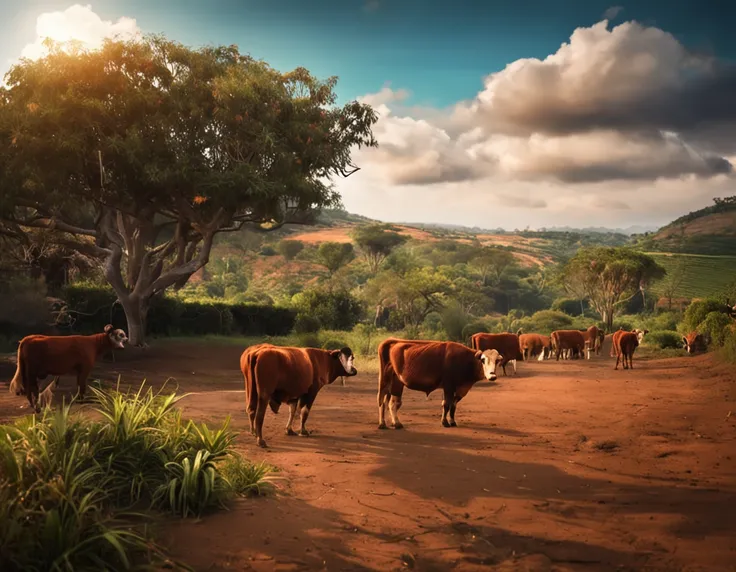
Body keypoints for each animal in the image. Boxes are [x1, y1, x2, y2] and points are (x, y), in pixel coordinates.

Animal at [376, 340, 504, 428]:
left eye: (497, 361)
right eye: (483, 360)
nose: (492, 376)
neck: (465, 360)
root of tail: (395, 342)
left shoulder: (460, 388)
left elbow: (453, 405)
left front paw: (452, 421)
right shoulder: (448, 386)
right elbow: (446, 404)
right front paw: (445, 422)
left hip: (393, 383)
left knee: (389, 402)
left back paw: (391, 422)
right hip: (389, 381)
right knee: (385, 401)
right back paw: (387, 423)